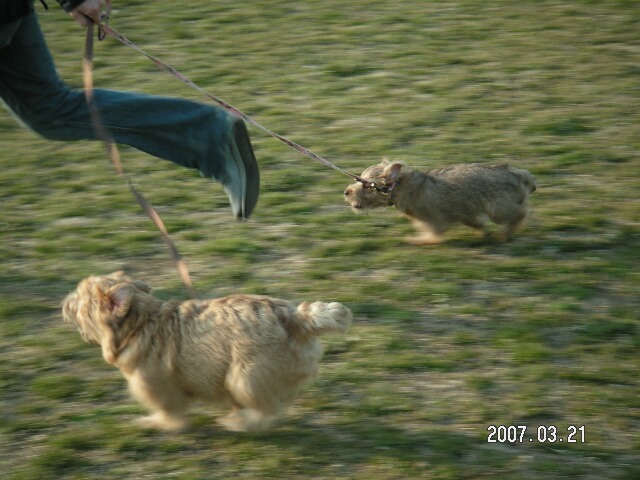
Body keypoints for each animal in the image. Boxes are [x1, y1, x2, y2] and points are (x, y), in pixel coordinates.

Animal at [62, 271, 352, 432]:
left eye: (78, 302)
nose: (63, 303)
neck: (141, 323)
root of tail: (296, 318)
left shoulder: (156, 387)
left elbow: (169, 412)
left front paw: (156, 423)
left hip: (245, 376)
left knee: (266, 409)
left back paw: (239, 422)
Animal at [344, 159, 536, 244]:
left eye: (367, 186)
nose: (346, 192)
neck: (401, 186)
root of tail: (519, 174)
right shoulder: (465, 214)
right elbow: (477, 224)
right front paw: (482, 233)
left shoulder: (435, 222)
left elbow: (432, 236)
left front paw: (416, 239)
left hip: (499, 210)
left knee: (521, 214)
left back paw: (506, 233)